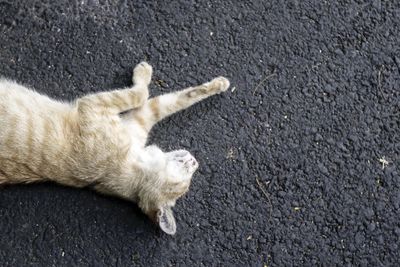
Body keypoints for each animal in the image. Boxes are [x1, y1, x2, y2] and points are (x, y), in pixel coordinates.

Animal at [0, 62, 230, 234]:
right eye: (186, 179)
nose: (195, 161)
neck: (132, 161)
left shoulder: (108, 110)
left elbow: (154, 97)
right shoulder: (129, 113)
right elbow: (162, 97)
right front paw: (219, 84)